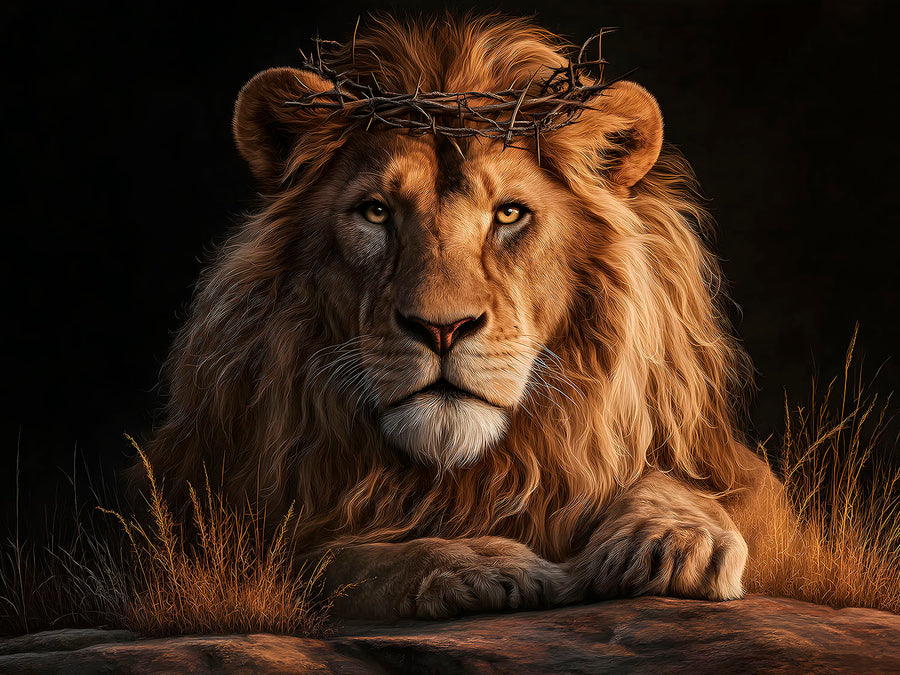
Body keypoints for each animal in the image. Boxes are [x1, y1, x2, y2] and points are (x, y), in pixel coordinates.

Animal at [134, 14, 790, 619]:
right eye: (375, 212)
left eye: (508, 214)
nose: (441, 329)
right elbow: (332, 557)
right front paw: (475, 562)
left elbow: (683, 482)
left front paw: (676, 538)